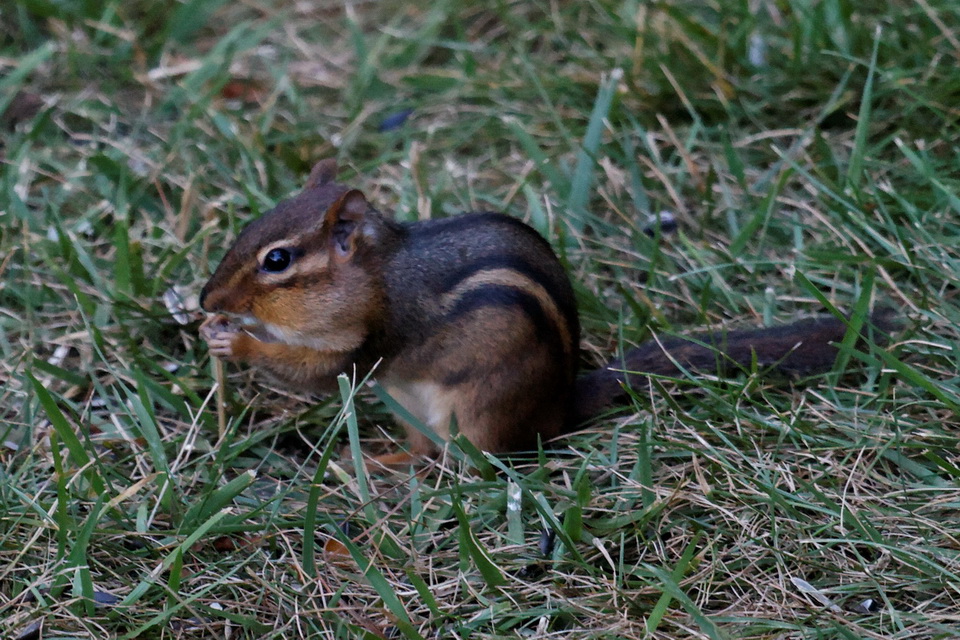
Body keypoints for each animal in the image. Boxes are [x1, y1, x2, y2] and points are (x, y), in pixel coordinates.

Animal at [199, 159, 896, 464]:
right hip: (409, 406)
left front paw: (236, 342)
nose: (208, 301)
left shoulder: (372, 334)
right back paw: (376, 463)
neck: (379, 274)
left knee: (469, 462)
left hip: (472, 411)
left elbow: (319, 373)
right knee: (422, 451)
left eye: (278, 260)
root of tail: (556, 409)